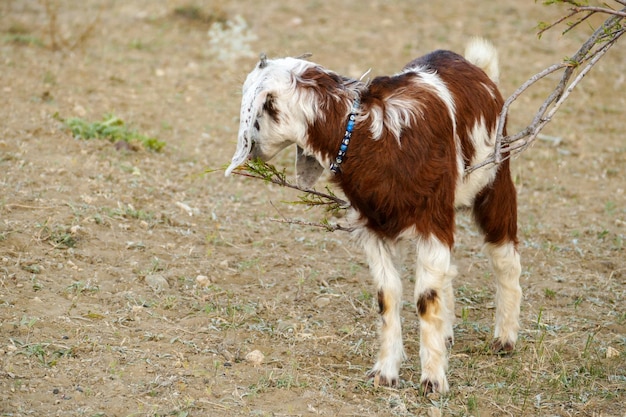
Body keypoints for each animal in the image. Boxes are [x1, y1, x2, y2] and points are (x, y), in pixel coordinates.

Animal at [224, 39, 520, 394]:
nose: (252, 153)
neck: (374, 136)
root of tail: (478, 68)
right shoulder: (373, 227)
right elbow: (388, 296)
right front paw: (385, 373)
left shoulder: (432, 219)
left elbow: (426, 299)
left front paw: (433, 380)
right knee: (447, 273)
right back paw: (448, 334)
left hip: (495, 181)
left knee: (505, 258)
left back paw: (504, 338)